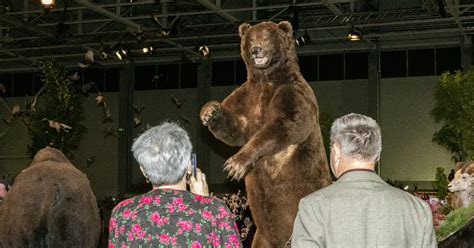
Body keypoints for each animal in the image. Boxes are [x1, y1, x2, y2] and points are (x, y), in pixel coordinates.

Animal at [200, 20, 334, 247]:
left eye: (266, 37)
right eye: (252, 38)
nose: (256, 50)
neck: (266, 78)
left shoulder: (292, 91)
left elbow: (287, 124)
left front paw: (235, 164)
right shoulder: (247, 96)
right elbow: (234, 129)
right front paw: (210, 111)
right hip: (262, 233)